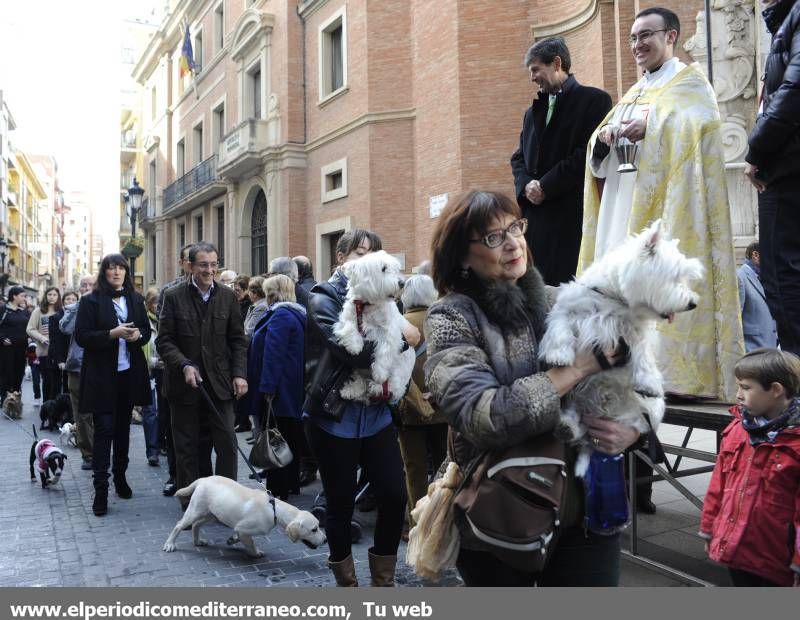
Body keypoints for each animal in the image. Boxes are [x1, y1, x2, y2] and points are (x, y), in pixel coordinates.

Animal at [164, 474, 326, 556]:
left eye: (319, 526)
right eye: (314, 529)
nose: (325, 540)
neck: (274, 509)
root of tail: (203, 479)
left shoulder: (240, 529)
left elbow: (239, 537)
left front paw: (232, 540)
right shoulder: (243, 529)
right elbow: (250, 544)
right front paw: (256, 553)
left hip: (212, 513)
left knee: (196, 525)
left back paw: (197, 541)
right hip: (195, 510)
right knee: (179, 525)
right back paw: (170, 544)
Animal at [332, 251, 416, 402]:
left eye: (396, 268)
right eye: (383, 268)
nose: (402, 283)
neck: (366, 305)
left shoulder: (390, 332)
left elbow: (384, 350)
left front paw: (380, 373)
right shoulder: (347, 318)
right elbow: (349, 328)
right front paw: (354, 346)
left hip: (398, 374)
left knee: (392, 388)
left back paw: (375, 386)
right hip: (359, 370)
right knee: (361, 382)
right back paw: (349, 391)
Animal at [540, 219, 704, 474]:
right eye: (675, 277)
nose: (692, 303)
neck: (613, 295)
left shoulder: (634, 333)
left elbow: (643, 356)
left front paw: (649, 384)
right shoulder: (568, 310)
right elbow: (560, 330)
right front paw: (559, 356)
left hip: (648, 412)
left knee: (635, 424)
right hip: (577, 398)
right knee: (579, 421)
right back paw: (567, 426)